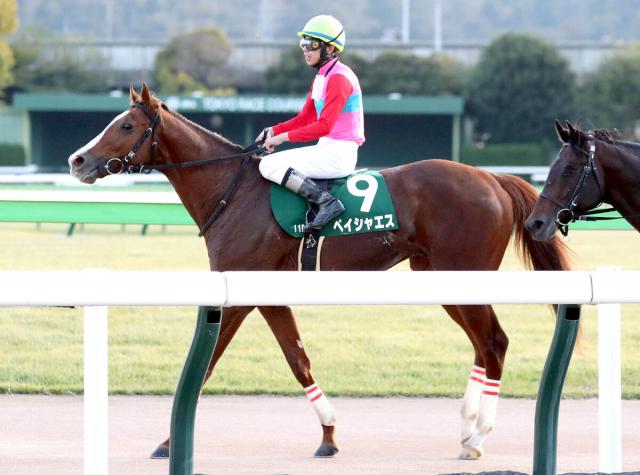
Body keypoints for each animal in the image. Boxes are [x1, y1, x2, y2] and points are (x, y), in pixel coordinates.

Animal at [70, 84, 568, 462]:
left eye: (126, 125)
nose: (78, 161)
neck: (234, 192)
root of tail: (492, 178)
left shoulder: (239, 293)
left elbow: (205, 366)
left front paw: (170, 441)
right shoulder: (268, 295)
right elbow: (298, 359)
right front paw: (328, 435)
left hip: (464, 274)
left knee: (494, 342)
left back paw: (478, 437)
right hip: (441, 278)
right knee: (483, 346)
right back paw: (467, 430)